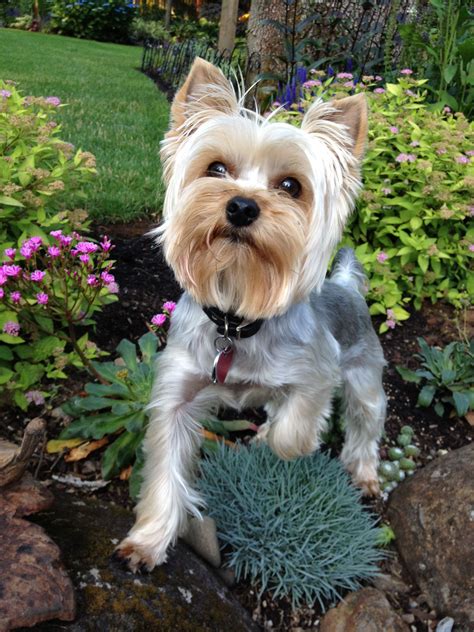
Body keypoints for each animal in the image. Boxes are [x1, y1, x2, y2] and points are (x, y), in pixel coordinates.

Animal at [116, 58, 386, 572]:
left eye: (291, 186)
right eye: (216, 168)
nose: (241, 206)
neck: (237, 318)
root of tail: (343, 284)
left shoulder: (317, 372)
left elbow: (294, 432)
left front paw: (283, 443)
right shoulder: (177, 394)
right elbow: (165, 467)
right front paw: (149, 540)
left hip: (364, 371)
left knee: (365, 420)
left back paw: (363, 472)